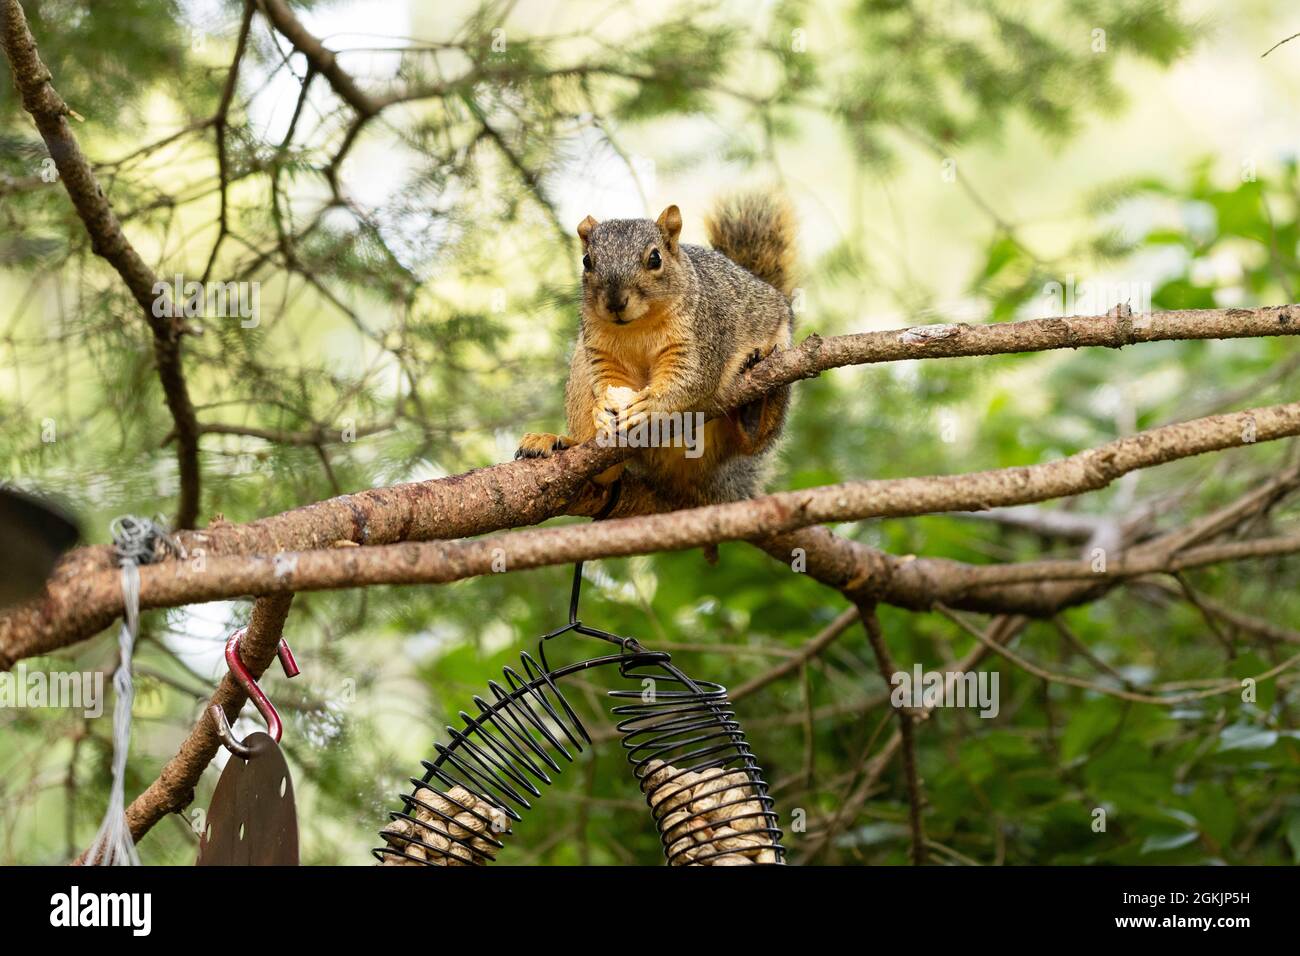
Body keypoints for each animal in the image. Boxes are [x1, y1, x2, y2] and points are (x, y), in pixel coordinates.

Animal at [516, 191, 797, 513]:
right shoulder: (600, 350)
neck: (637, 327)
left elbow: (691, 378)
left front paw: (649, 406)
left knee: (754, 441)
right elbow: (608, 380)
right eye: (587, 261)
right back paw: (557, 442)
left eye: (655, 258)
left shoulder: (700, 336)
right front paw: (603, 408)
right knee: (604, 474)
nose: (615, 301)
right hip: (579, 369)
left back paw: (756, 392)